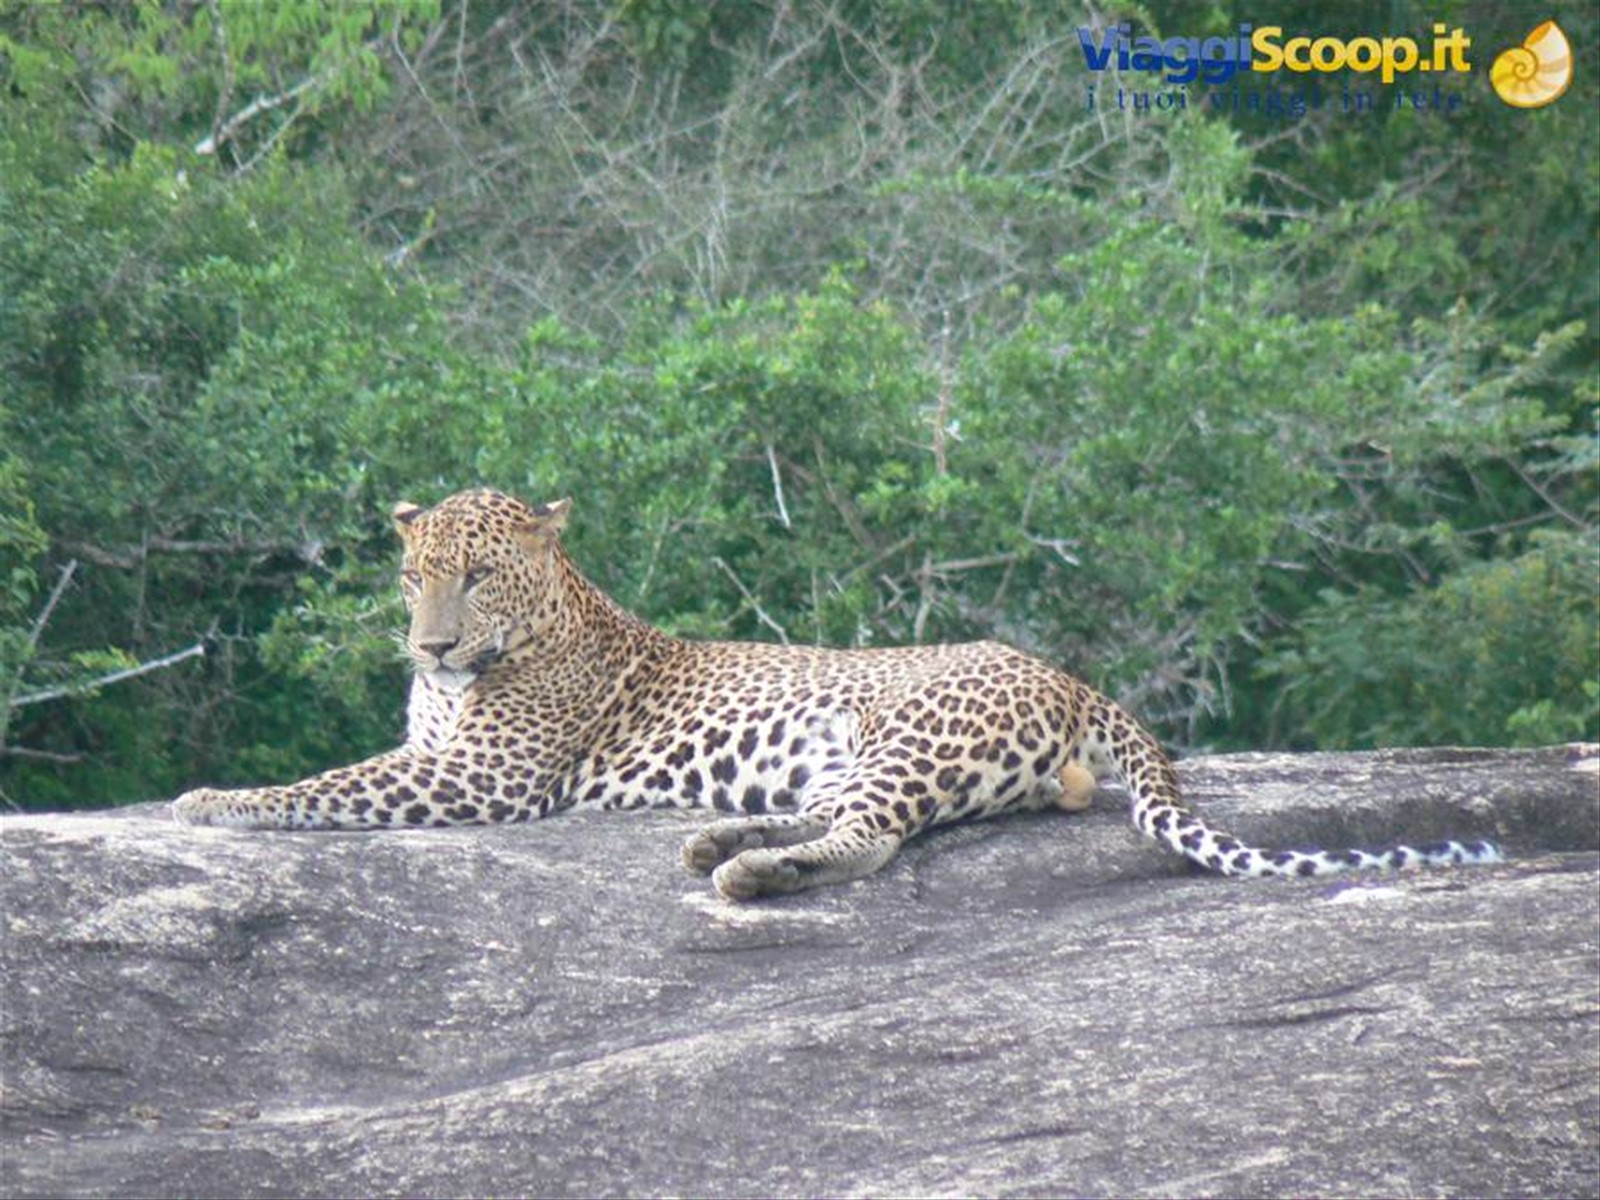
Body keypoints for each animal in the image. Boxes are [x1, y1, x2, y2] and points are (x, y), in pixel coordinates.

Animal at [172, 487, 1503, 899]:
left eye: (481, 575)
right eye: (413, 578)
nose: (433, 648)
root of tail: (1070, 675)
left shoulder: (479, 776)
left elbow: (324, 783)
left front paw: (206, 803)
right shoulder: (445, 753)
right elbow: (344, 770)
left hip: (908, 733)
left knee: (867, 842)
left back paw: (747, 873)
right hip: (853, 749)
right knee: (843, 818)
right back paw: (720, 839)